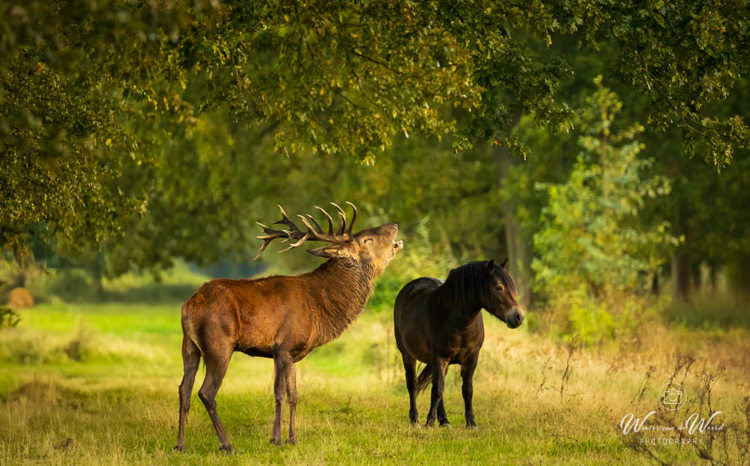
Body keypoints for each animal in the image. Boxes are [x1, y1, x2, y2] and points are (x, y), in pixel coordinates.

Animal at [396, 260, 524, 428]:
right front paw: (429, 422)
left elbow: (467, 390)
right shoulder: (439, 357)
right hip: (407, 354)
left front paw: (471, 423)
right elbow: (437, 390)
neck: (459, 322)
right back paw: (415, 420)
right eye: (498, 287)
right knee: (412, 384)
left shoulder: (472, 358)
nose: (518, 317)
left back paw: (444, 421)